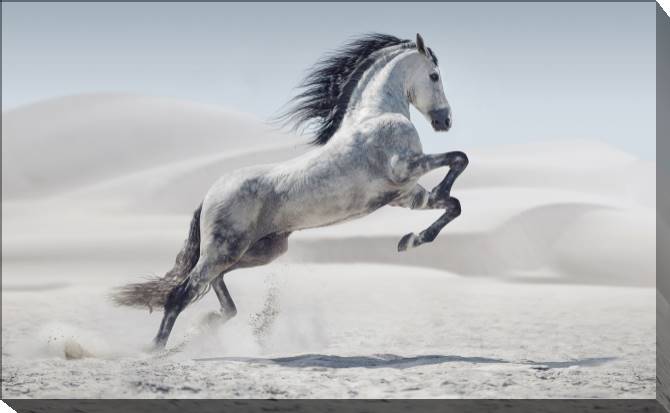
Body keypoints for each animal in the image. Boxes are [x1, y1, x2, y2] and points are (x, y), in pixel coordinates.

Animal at [112, 33, 468, 349]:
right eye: (434, 75)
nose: (445, 121)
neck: (376, 115)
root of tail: (211, 194)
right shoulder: (404, 168)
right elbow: (459, 159)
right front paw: (421, 223)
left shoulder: (406, 195)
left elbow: (453, 204)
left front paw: (410, 240)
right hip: (225, 249)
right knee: (182, 293)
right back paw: (156, 349)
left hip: (258, 251)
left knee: (215, 285)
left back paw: (208, 324)